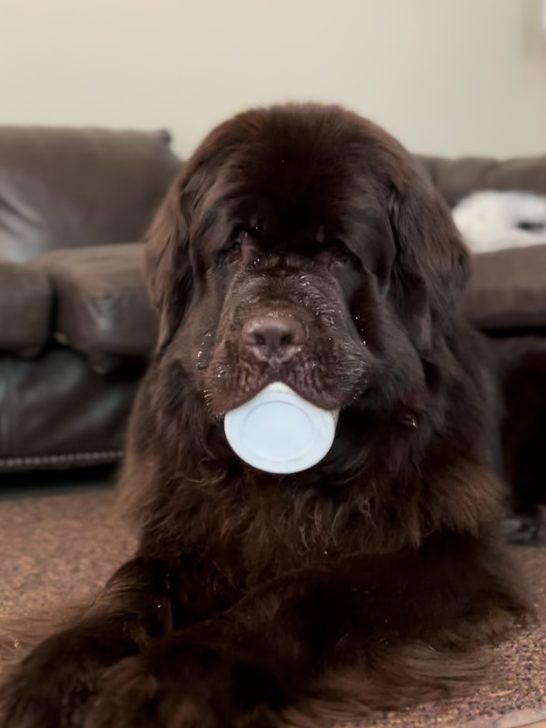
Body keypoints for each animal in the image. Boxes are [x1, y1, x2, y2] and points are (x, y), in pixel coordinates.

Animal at [0, 104, 528, 728]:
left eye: (340, 256)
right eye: (234, 250)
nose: (272, 333)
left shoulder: (447, 553)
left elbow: (300, 592)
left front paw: (168, 679)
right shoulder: (187, 528)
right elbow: (129, 587)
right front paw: (53, 673)